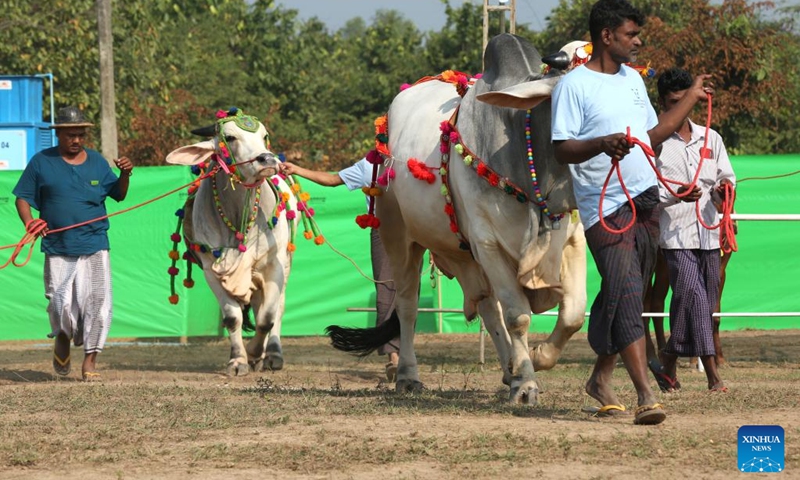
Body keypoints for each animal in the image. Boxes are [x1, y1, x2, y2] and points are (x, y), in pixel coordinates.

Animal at [166, 109, 296, 376]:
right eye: (231, 137)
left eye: (264, 135)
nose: (267, 160)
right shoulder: (211, 271)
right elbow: (232, 317)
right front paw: (239, 360)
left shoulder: (275, 265)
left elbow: (267, 317)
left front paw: (255, 351)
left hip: (285, 265)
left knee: (277, 308)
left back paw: (272, 355)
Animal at [324, 35, 588, 404]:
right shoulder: (487, 241)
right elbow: (518, 316)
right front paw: (526, 383)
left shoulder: (571, 239)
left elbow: (574, 313)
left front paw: (535, 359)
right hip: (400, 236)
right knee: (407, 306)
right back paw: (408, 375)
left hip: (464, 253)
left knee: (488, 307)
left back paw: (508, 370)